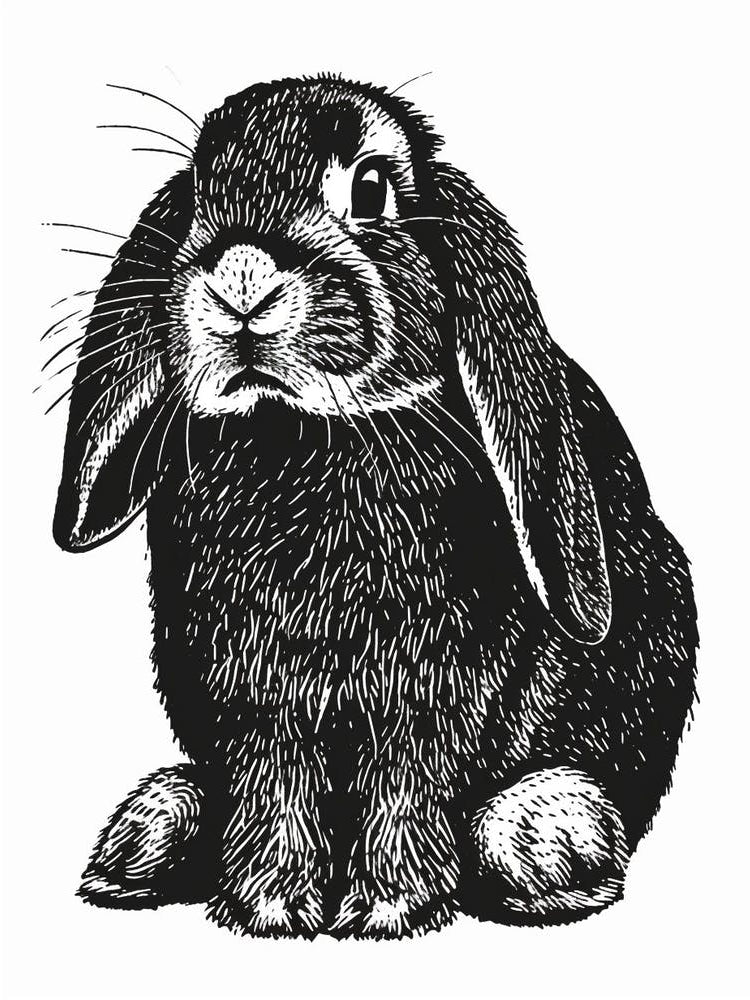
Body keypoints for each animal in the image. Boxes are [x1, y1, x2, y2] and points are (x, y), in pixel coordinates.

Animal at [52, 74, 698, 939]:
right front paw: (270, 907)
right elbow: (274, 782)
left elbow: (407, 781)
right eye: (197, 197)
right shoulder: (253, 694)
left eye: (370, 189)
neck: (305, 432)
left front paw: (387, 910)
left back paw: (548, 844)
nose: (241, 278)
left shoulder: (434, 691)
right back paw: (144, 842)